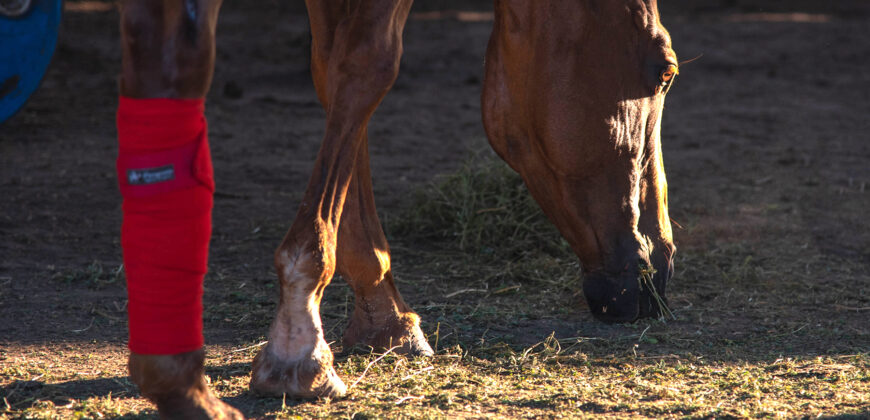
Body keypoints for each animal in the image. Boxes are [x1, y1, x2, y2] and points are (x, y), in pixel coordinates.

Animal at [114, 0, 680, 416]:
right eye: (665, 72)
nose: (662, 265)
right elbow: (366, 68)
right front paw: (299, 338)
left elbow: (331, 74)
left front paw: (382, 311)